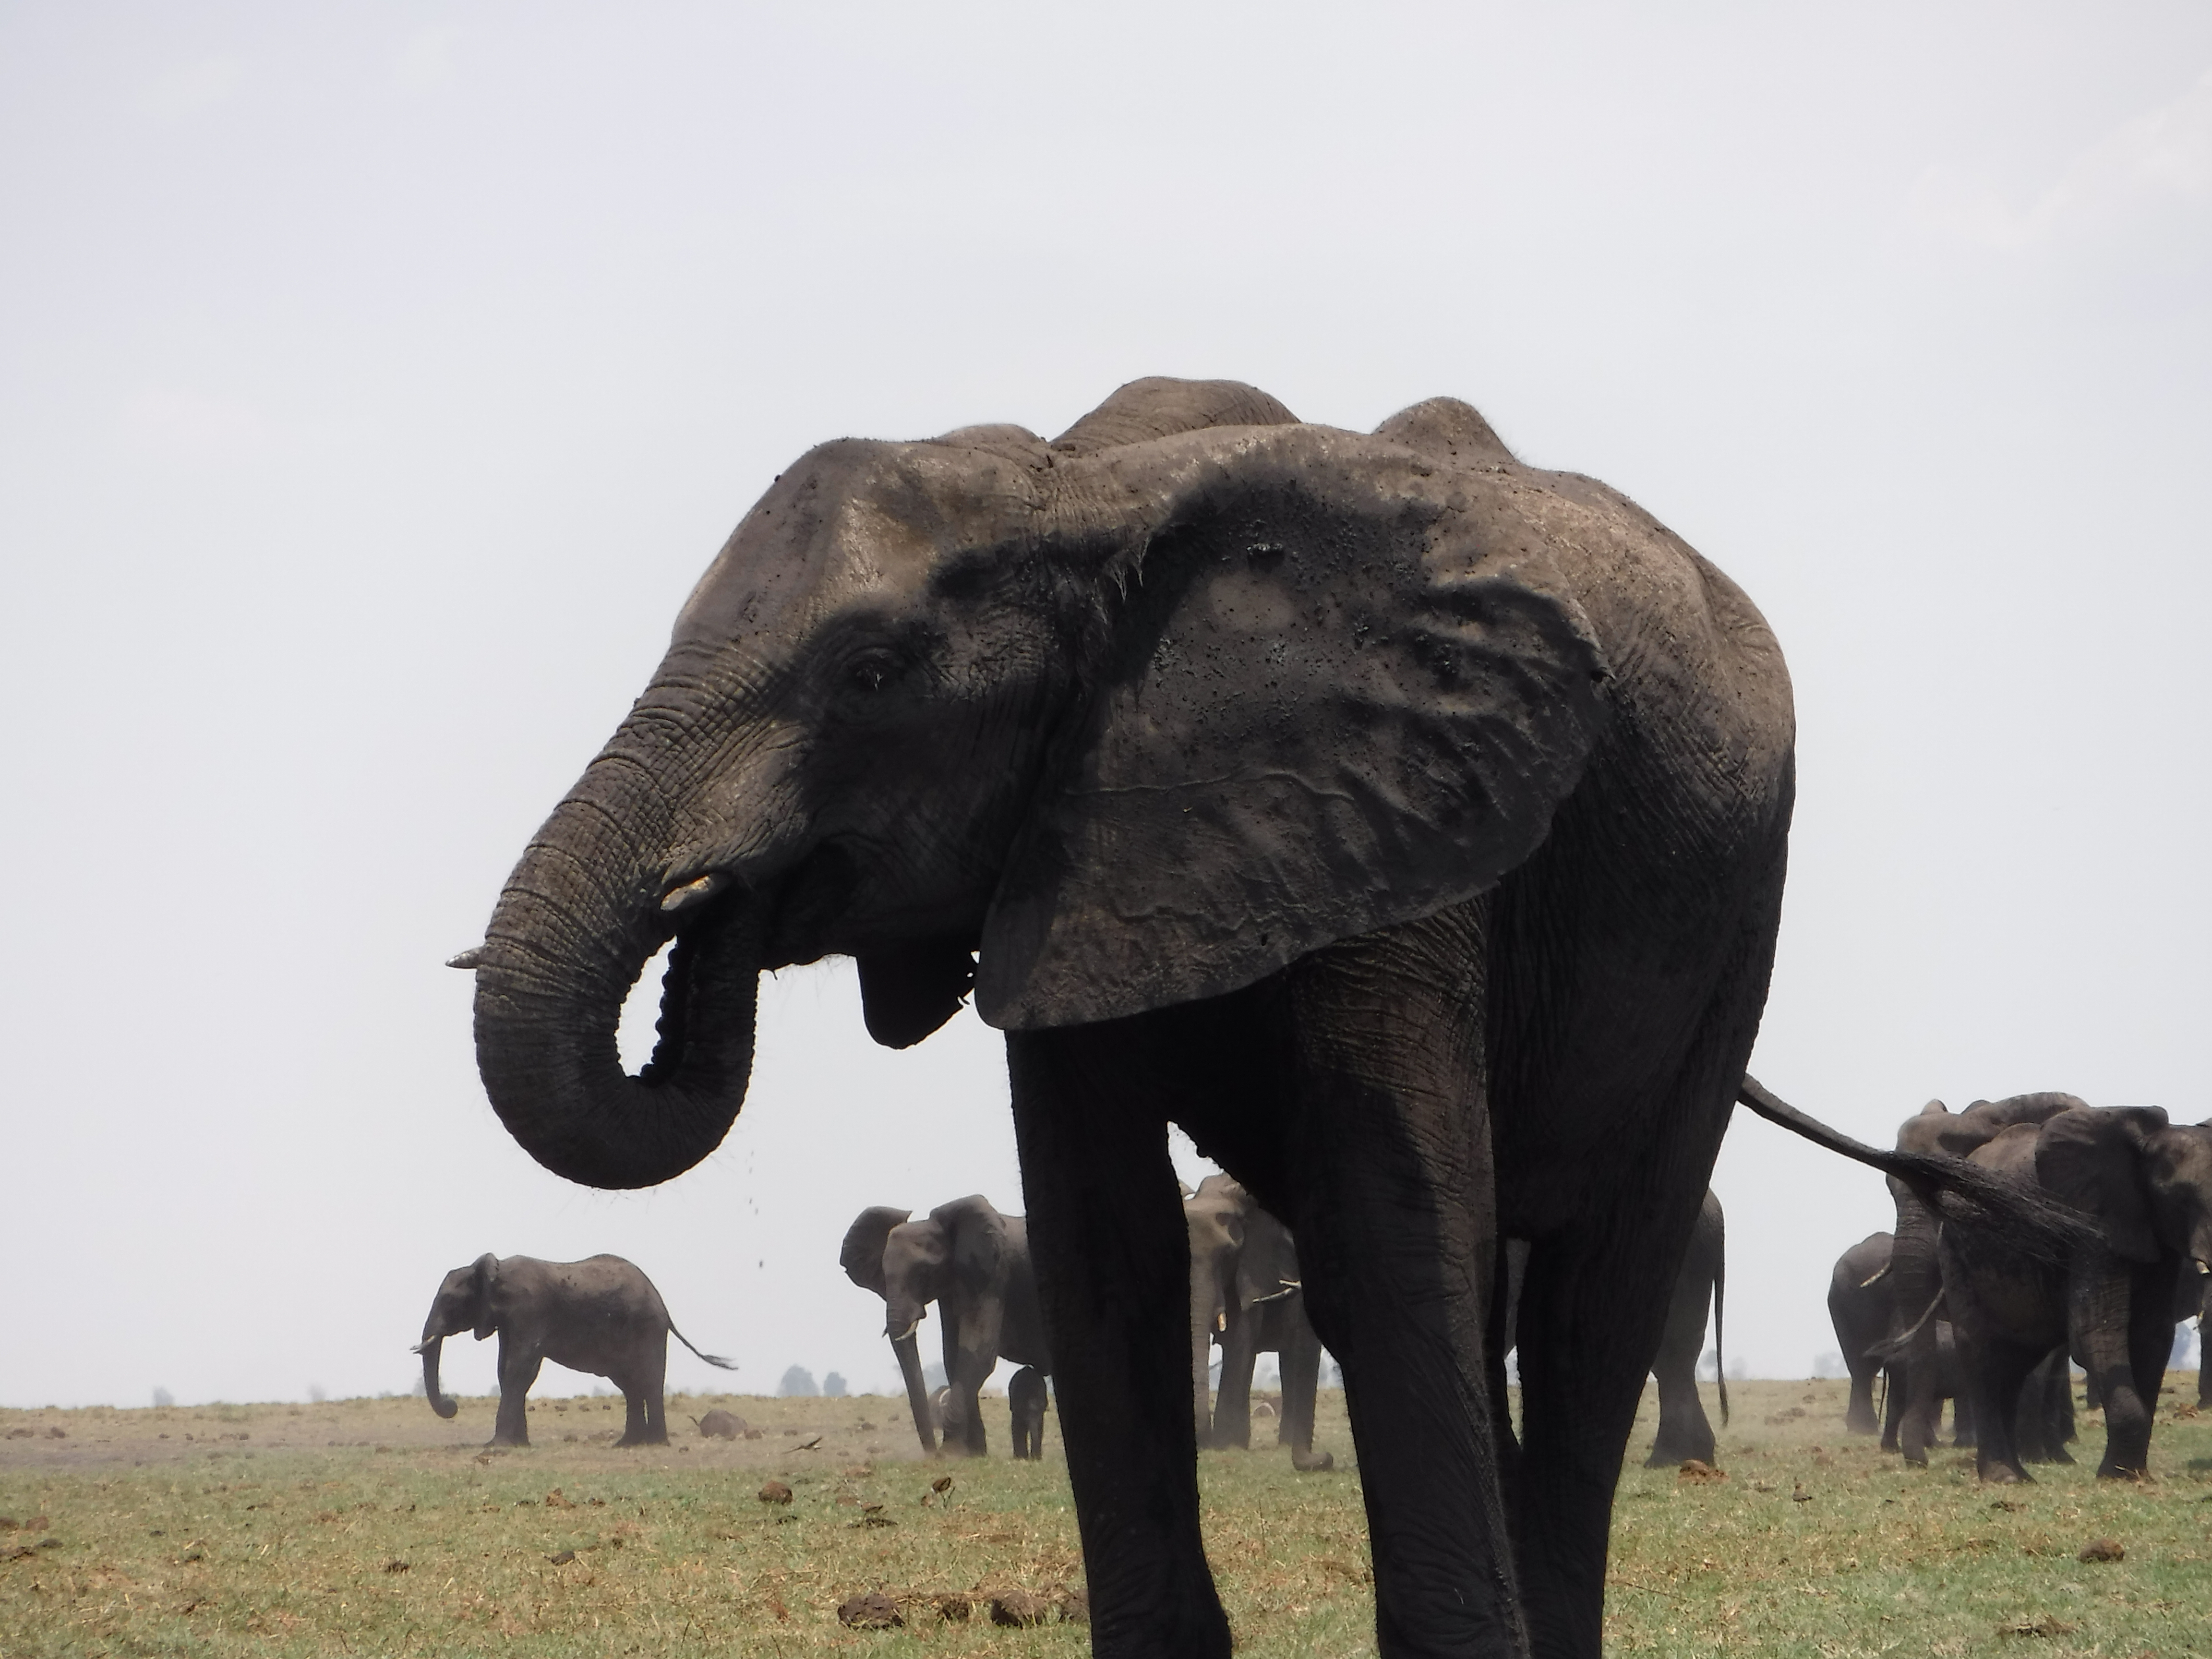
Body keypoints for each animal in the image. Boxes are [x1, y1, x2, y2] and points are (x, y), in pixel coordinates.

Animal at [413, 1253, 734, 1447]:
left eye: (450, 1301)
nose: (453, 1405)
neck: (496, 1270)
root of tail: (664, 1307)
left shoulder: (529, 1311)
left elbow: (519, 1366)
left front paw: (497, 1448)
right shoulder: (509, 1321)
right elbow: (509, 1371)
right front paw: (519, 1446)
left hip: (648, 1329)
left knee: (649, 1381)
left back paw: (654, 1444)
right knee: (631, 1385)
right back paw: (626, 1445)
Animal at [839, 1195, 1050, 1458]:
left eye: (923, 1273)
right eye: (884, 1275)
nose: (932, 1454)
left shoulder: (994, 1276)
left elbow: (976, 1354)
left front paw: (952, 1453)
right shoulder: (951, 1287)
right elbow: (952, 1356)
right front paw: (973, 1455)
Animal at [1937, 1107, 2212, 1481]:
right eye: (2181, 1198)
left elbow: (2152, 1337)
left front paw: (2131, 1475)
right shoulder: (2089, 1225)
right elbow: (2095, 1334)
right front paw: (2117, 1477)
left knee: (2014, 1364)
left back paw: (2021, 1477)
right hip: (1956, 1252)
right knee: (1983, 1356)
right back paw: (2004, 1478)